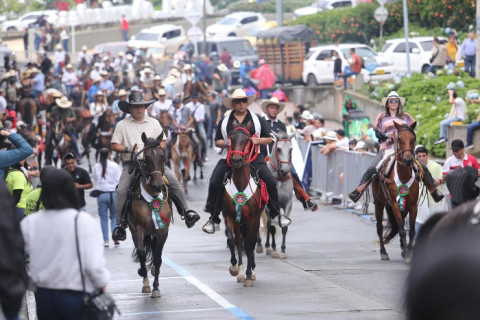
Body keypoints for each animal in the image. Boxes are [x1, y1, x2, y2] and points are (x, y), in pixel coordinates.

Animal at [127, 131, 172, 298]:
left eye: (163, 156)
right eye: (146, 158)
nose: (158, 185)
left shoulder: (162, 230)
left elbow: (158, 258)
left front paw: (156, 288)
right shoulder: (138, 228)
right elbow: (141, 252)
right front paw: (146, 281)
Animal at [222, 124, 266, 286]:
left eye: (247, 140)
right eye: (231, 138)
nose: (236, 160)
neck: (241, 185)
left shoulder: (254, 219)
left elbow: (249, 245)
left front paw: (248, 274)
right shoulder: (229, 215)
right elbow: (232, 240)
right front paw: (235, 268)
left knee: (250, 244)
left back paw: (251, 271)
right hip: (241, 223)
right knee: (241, 242)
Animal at [372, 121, 420, 264]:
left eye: (413, 139)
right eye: (399, 139)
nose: (408, 160)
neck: (403, 176)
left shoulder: (413, 205)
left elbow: (411, 231)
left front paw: (408, 252)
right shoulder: (394, 205)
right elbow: (402, 230)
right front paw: (407, 254)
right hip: (379, 202)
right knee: (380, 228)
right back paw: (383, 252)